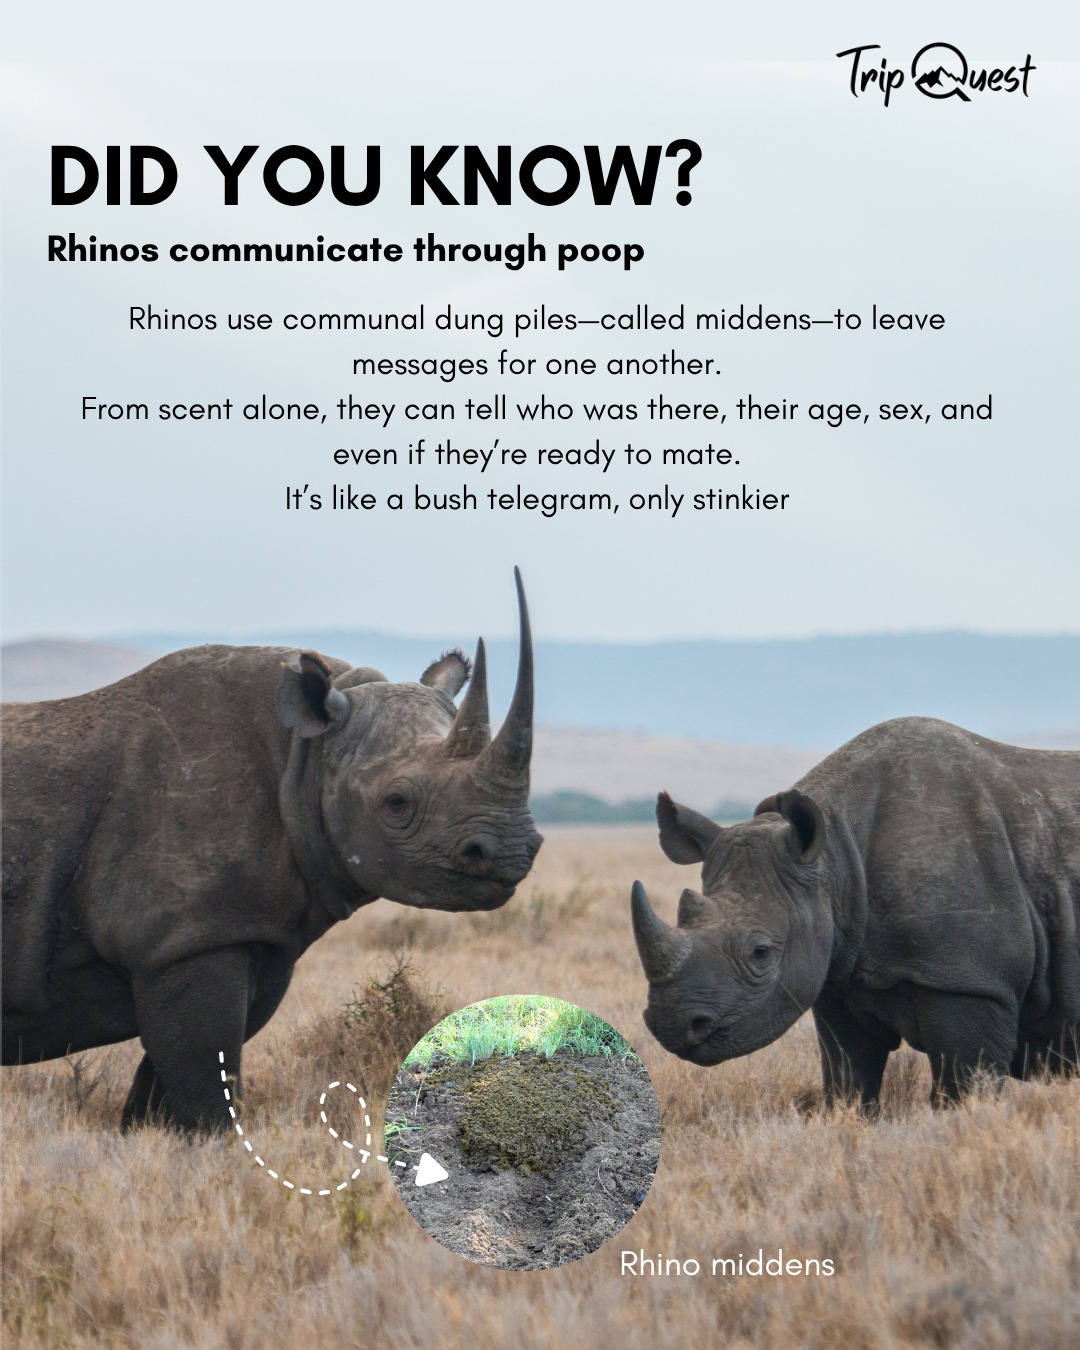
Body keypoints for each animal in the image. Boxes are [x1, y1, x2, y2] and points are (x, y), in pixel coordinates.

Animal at [2, 572, 542, 1130]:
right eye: (396, 803)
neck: (307, 754)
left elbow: (169, 1086)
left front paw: (149, 1138)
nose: (511, 853)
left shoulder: (246, 932)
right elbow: (205, 1083)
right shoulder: (183, 937)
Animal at [631, 718, 1080, 1105]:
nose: (671, 1023)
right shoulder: (838, 975)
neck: (837, 859)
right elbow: (847, 1079)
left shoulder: (971, 980)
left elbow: (963, 1091)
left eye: (761, 952)